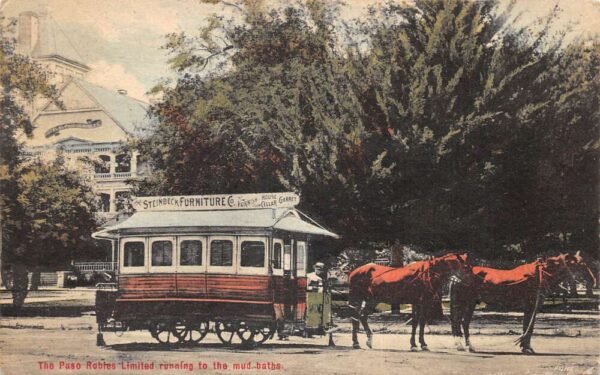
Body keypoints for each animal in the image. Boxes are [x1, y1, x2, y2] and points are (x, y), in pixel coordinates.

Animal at [450, 253, 596, 356]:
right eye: (581, 264)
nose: (593, 280)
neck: (539, 275)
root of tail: (456, 276)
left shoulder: (531, 307)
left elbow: (527, 326)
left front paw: (525, 346)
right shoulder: (531, 306)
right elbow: (529, 327)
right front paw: (527, 348)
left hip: (470, 304)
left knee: (464, 323)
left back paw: (469, 346)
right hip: (463, 303)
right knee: (458, 322)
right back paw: (461, 346)